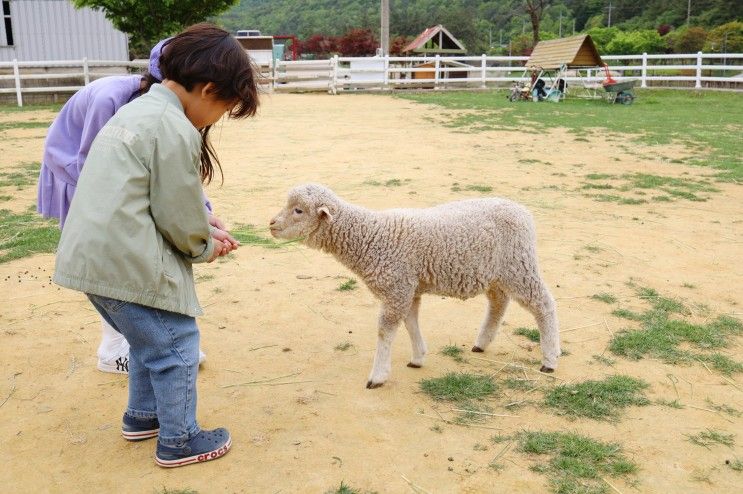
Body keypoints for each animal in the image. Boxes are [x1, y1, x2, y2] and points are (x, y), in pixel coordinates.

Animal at [270, 183, 560, 388]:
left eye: (298, 210)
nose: (271, 224)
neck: (370, 237)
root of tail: (522, 210)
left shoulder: (396, 287)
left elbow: (385, 332)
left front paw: (378, 376)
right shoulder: (407, 288)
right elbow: (411, 323)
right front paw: (418, 357)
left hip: (519, 265)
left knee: (544, 305)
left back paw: (550, 358)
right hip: (496, 272)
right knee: (499, 302)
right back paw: (482, 342)